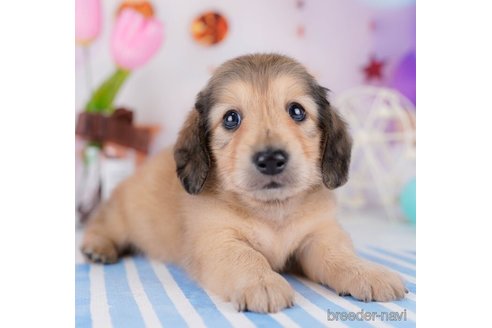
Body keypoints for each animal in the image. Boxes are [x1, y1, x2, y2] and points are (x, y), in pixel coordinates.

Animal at [81, 53, 408, 312]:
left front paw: (367, 273)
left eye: (297, 111)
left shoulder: (319, 234)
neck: (272, 211)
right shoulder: (218, 240)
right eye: (231, 118)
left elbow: (338, 255)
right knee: (102, 224)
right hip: (122, 215)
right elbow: (246, 257)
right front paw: (261, 283)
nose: (271, 159)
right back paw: (98, 247)